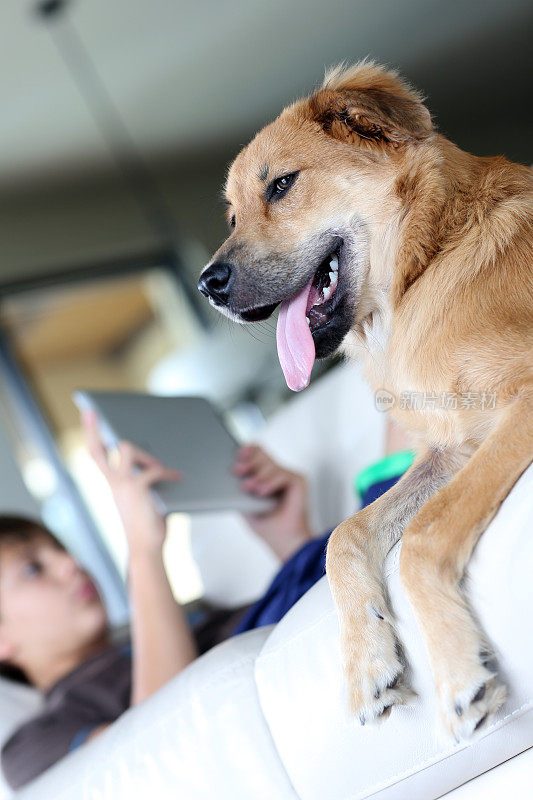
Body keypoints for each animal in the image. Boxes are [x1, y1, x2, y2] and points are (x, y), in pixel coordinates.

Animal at [197, 59, 528, 740]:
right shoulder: (454, 447)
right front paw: (367, 661)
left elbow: (424, 534)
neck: (428, 264)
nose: (206, 285)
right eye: (232, 217)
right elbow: (344, 536)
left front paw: (459, 671)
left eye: (281, 186)